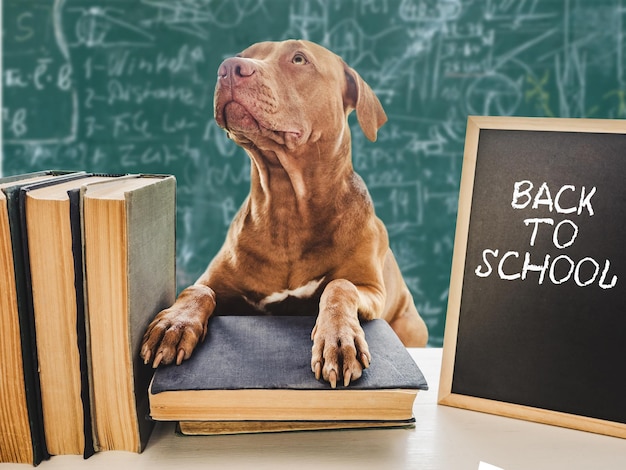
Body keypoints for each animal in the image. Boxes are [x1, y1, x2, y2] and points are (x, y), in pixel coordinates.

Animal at [140, 39, 426, 390]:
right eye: (246, 54)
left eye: (299, 59)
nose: (229, 68)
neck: (288, 206)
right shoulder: (217, 284)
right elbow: (197, 289)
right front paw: (175, 323)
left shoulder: (370, 289)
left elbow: (339, 286)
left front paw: (338, 340)